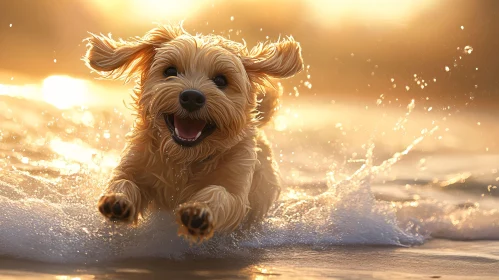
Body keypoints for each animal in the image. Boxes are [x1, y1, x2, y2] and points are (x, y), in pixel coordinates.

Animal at [84, 24, 302, 243]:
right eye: (170, 71)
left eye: (221, 80)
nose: (191, 97)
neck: (185, 158)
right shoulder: (136, 163)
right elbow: (124, 180)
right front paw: (117, 200)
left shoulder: (237, 188)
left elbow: (219, 193)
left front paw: (199, 212)